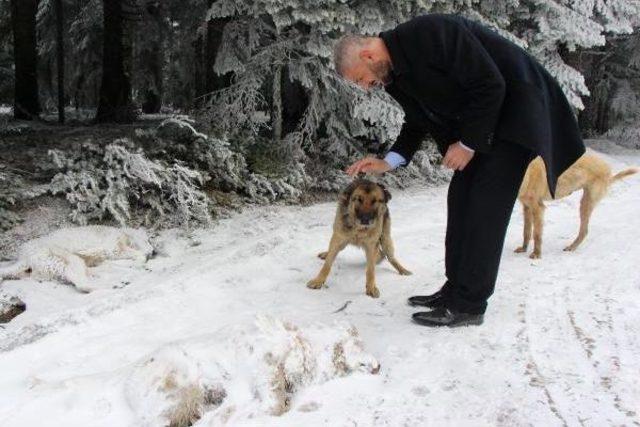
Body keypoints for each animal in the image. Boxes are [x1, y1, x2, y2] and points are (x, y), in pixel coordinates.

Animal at [0, 226, 154, 292]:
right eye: (147, 241)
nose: (154, 251)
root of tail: (23, 258)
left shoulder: (108, 256)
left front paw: (135, 265)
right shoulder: (114, 249)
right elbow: (138, 255)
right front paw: (139, 263)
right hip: (71, 260)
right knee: (82, 284)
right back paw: (113, 286)